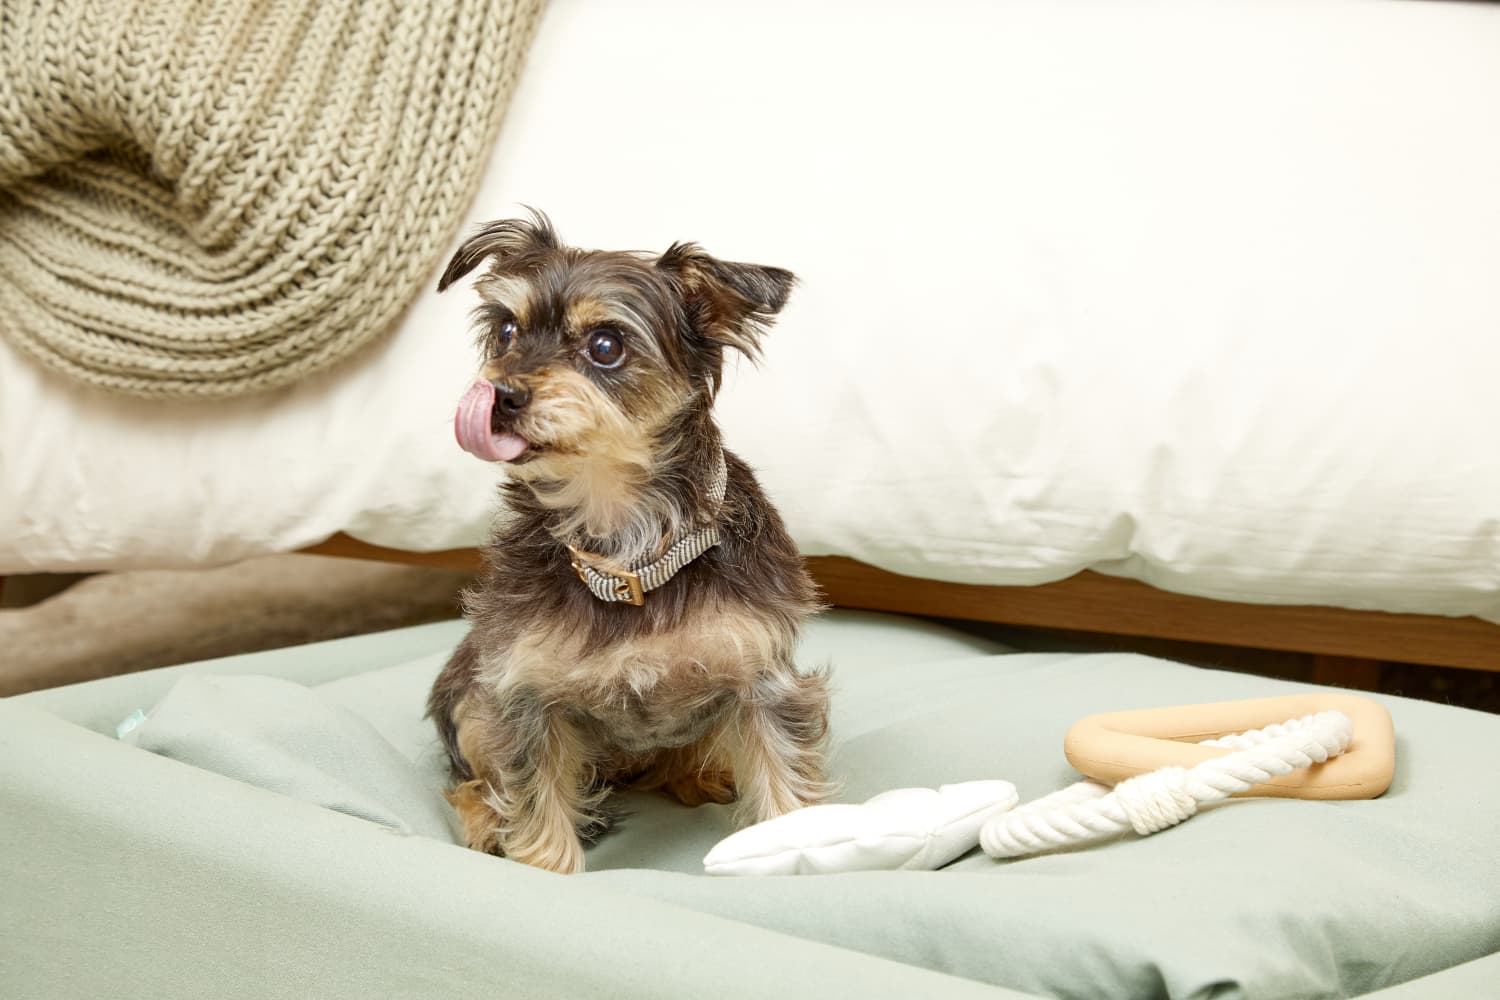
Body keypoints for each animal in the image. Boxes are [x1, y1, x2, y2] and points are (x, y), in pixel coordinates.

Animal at [426, 212, 834, 875]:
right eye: (507, 332)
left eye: (606, 346)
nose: (499, 395)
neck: (628, 548)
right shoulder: (524, 694)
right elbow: (535, 805)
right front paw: (541, 865)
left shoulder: (759, 676)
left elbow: (783, 780)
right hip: (470, 702)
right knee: (470, 779)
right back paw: (486, 820)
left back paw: (703, 773)